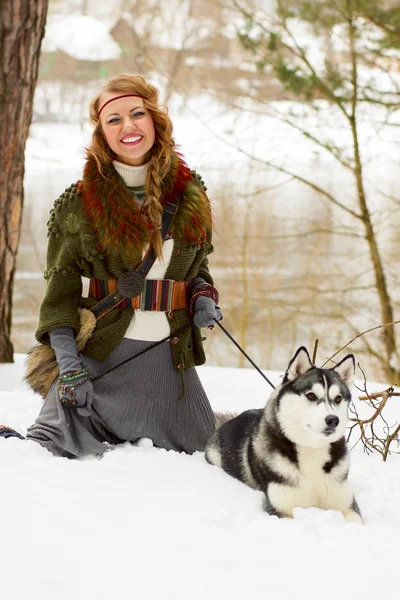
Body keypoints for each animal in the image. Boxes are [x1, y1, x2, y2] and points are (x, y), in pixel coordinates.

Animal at [206, 350, 362, 524]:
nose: (333, 420)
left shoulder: (347, 505)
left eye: (338, 398)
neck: (311, 449)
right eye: (311, 395)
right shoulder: (281, 510)